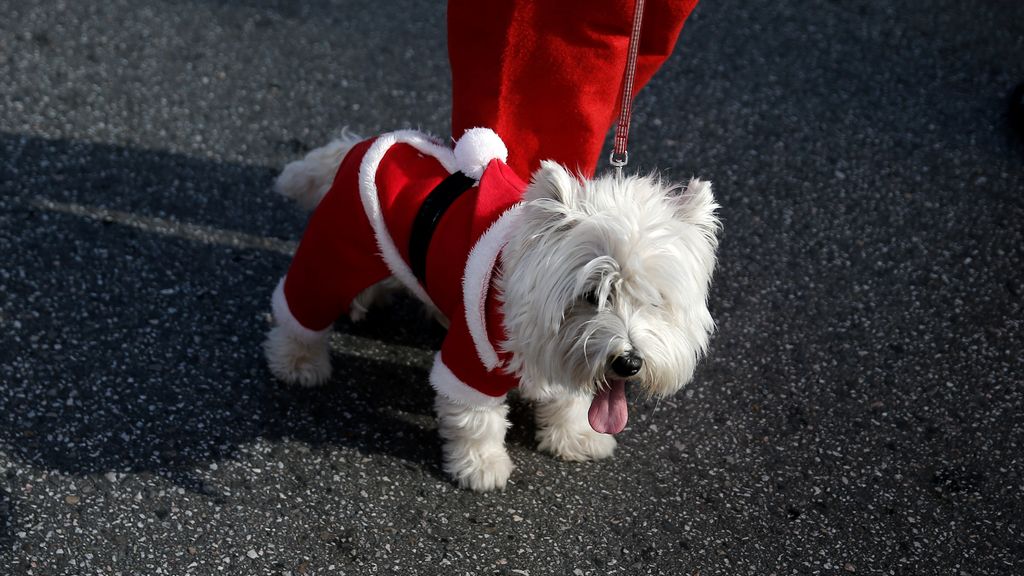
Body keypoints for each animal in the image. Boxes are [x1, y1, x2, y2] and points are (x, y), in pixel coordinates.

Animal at [264, 129, 720, 487]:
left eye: (655, 300)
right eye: (592, 295)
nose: (628, 362)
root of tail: (366, 142)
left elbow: (572, 395)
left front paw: (575, 436)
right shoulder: (471, 357)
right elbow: (477, 417)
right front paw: (481, 467)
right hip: (335, 252)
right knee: (300, 309)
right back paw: (298, 363)